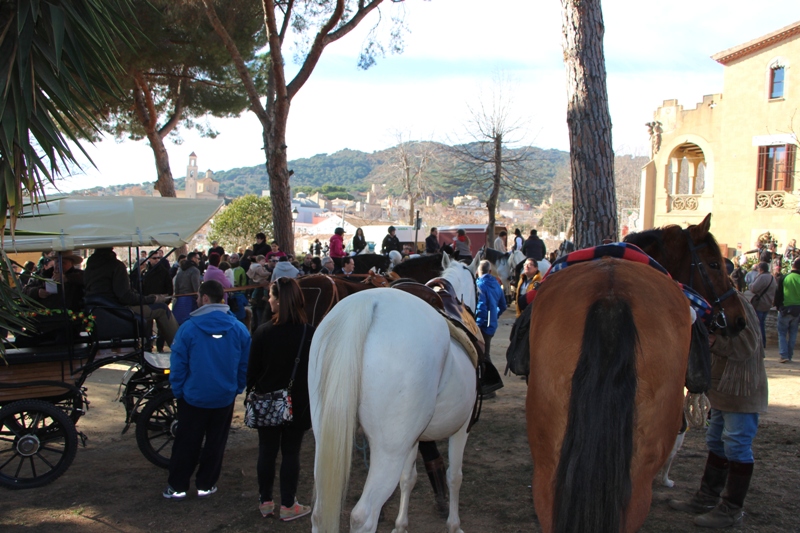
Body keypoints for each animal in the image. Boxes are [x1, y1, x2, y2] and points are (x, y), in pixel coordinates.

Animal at [310, 255, 478, 532]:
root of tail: (367, 305)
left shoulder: (413, 438)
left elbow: (408, 478)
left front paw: (401, 525)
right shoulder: (462, 427)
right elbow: (455, 476)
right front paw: (454, 525)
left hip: (326, 435)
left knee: (320, 512)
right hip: (388, 450)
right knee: (363, 516)